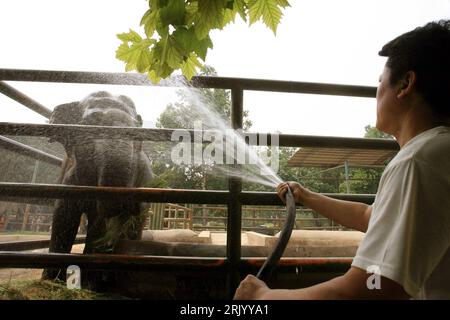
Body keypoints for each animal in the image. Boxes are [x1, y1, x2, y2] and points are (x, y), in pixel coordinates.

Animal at [43, 90, 154, 288]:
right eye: (88, 125)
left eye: (137, 131)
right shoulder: (70, 177)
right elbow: (63, 216)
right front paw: (51, 280)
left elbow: (98, 222)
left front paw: (89, 283)